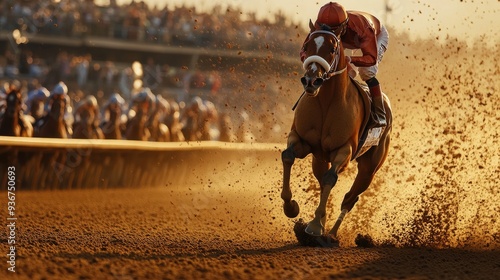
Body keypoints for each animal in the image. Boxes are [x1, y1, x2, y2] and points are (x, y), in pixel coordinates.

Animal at [282, 24, 390, 243]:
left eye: (332, 50)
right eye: (307, 45)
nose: (311, 81)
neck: (326, 102)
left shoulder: (344, 150)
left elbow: (330, 178)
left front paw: (315, 226)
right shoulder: (302, 139)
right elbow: (287, 156)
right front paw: (291, 207)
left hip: (369, 168)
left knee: (350, 198)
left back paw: (331, 234)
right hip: (319, 159)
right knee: (322, 181)